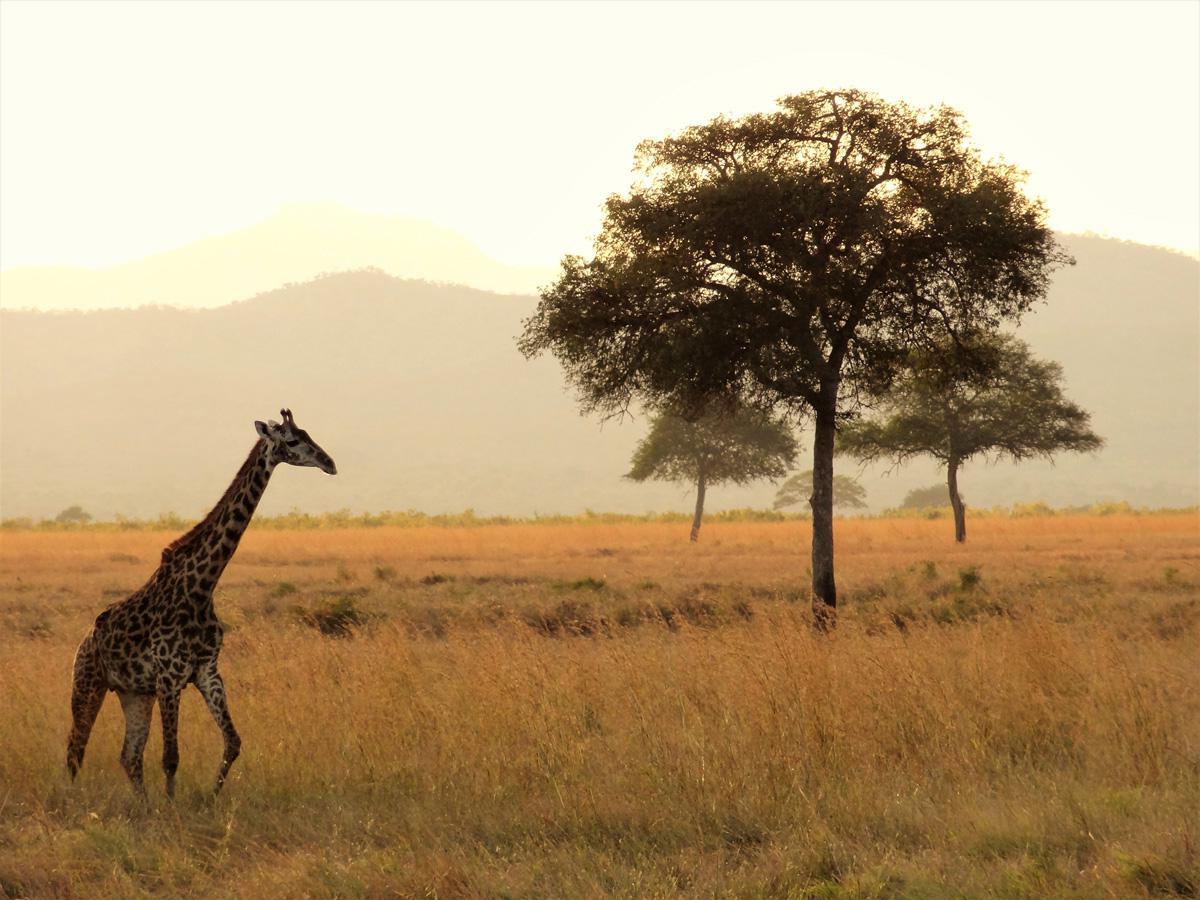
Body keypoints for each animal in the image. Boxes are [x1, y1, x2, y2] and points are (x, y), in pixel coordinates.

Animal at [66, 409, 337, 797]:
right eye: (292, 440)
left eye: (308, 434)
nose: (330, 463)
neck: (201, 588)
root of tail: (85, 639)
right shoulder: (169, 677)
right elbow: (171, 757)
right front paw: (172, 804)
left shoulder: (206, 670)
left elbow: (233, 742)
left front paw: (210, 797)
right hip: (87, 682)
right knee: (76, 748)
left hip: (134, 694)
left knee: (129, 756)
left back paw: (142, 803)